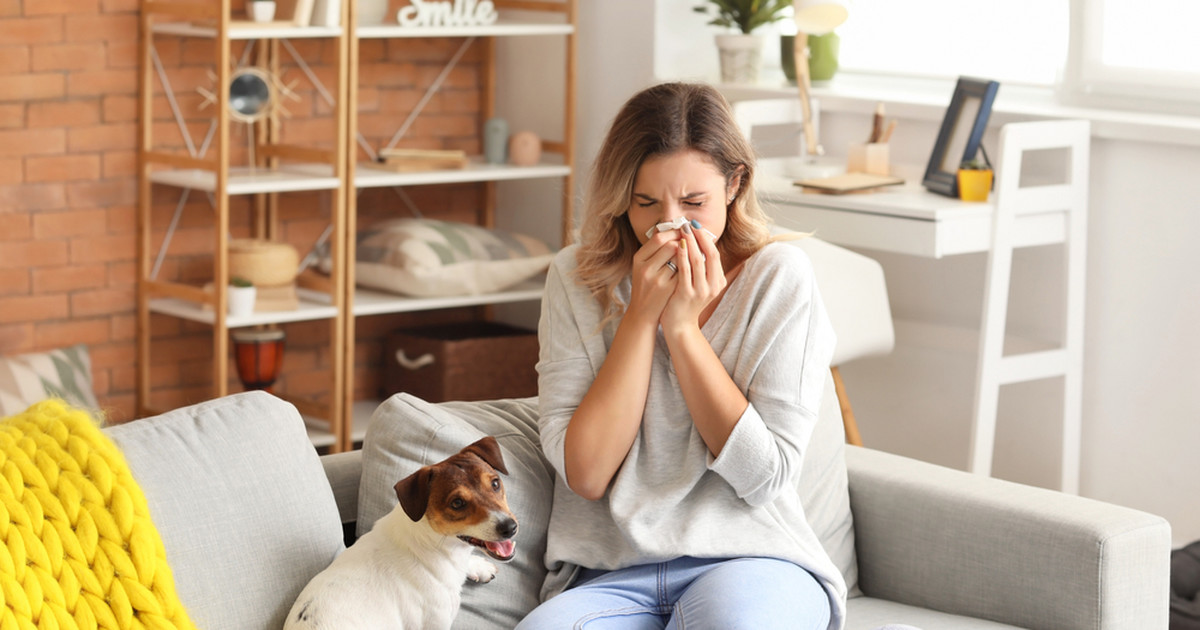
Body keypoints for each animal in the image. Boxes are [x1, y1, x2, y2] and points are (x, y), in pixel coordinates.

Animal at [288, 436, 523, 628]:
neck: (433, 545)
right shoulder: (436, 623)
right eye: (457, 503)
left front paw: (478, 566)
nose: (509, 527)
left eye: (495, 483)